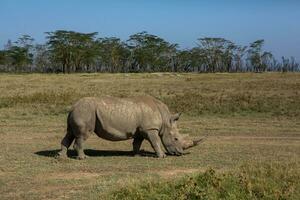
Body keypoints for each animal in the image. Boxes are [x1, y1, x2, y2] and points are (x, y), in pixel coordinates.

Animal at [57, 95, 203, 159]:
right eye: (176, 139)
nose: (180, 153)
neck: (165, 120)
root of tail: (72, 107)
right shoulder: (151, 129)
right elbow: (155, 142)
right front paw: (162, 156)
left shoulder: (142, 130)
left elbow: (137, 142)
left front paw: (136, 155)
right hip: (85, 112)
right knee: (82, 135)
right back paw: (84, 158)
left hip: (80, 112)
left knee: (70, 134)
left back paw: (61, 157)